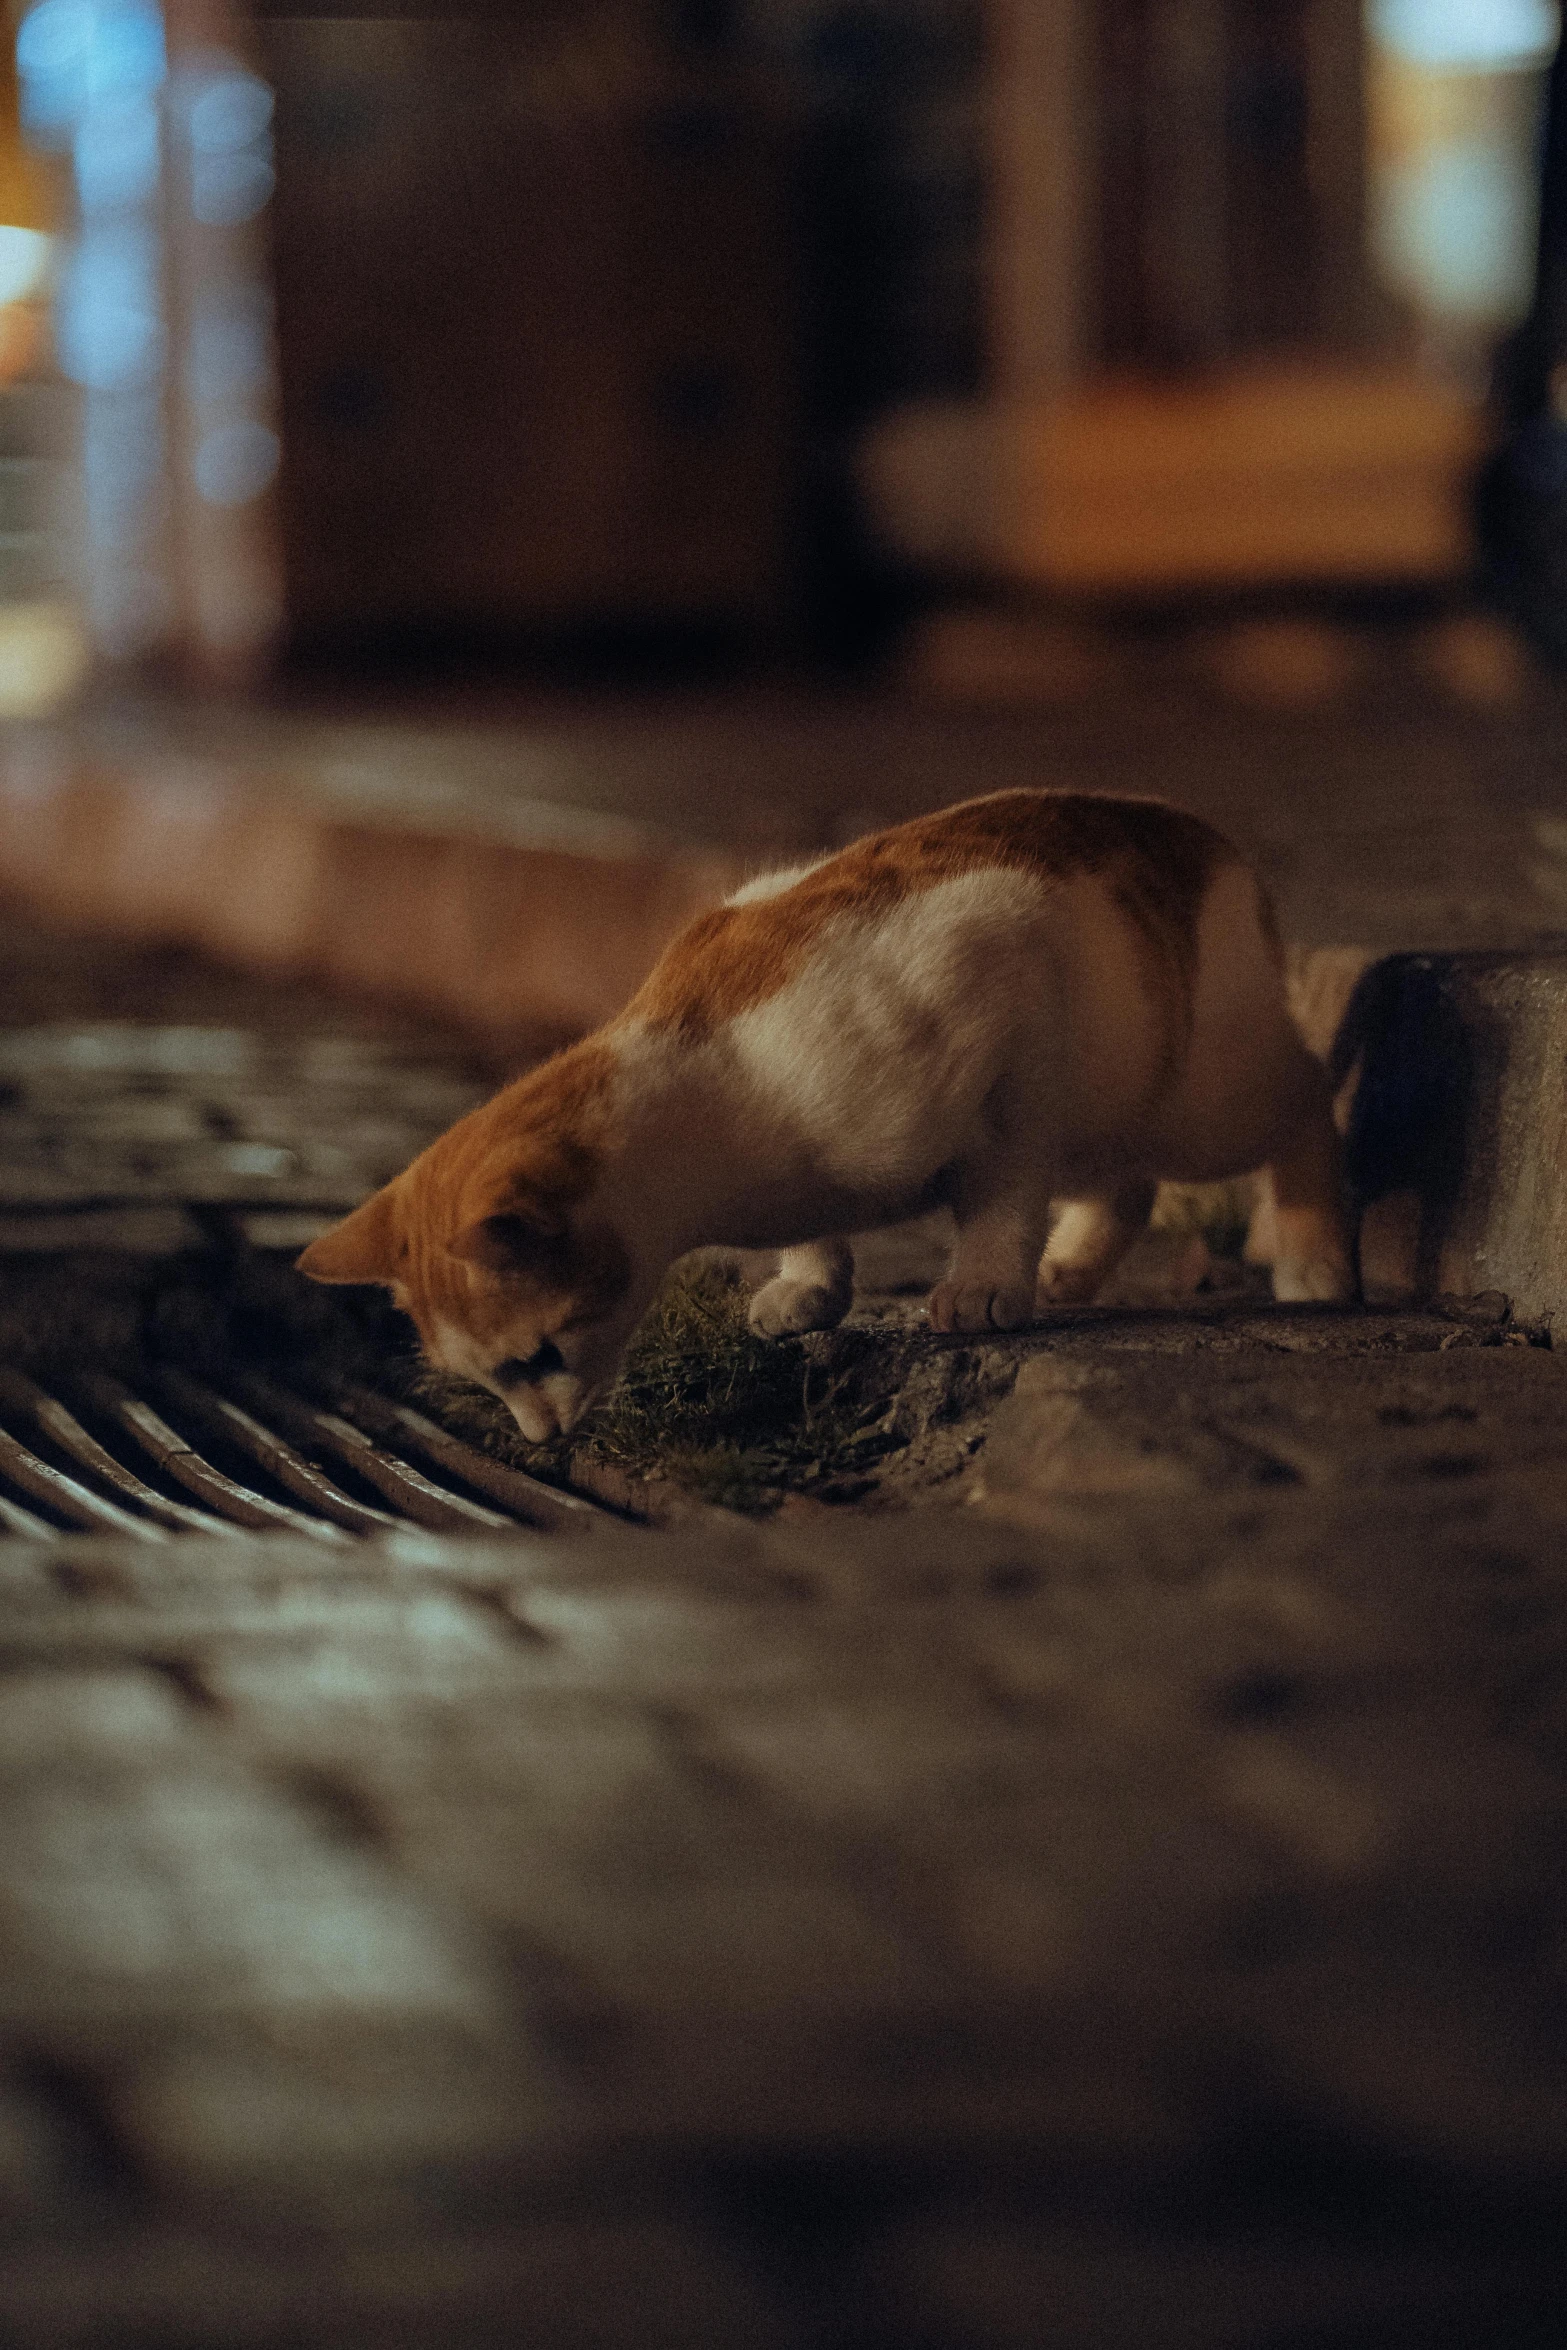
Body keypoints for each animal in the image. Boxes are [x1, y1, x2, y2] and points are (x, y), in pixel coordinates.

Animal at [300, 798, 1353, 1438]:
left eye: (539, 1357)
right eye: (485, 1381)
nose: (543, 1439)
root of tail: (1205, 836)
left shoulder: (1006, 993)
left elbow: (999, 1196)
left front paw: (981, 1287)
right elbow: (817, 1237)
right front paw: (808, 1290)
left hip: (1200, 1097)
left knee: (1308, 1094)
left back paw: (1314, 1261)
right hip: (1106, 1117)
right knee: (1127, 1183)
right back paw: (1072, 1266)